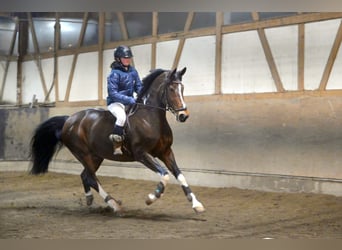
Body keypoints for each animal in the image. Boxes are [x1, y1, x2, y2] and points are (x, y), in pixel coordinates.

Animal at [29, 67, 204, 214]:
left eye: (182, 88)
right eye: (172, 89)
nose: (184, 115)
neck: (150, 119)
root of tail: (68, 120)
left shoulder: (166, 152)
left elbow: (180, 175)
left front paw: (197, 205)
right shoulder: (141, 154)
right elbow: (165, 175)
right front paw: (151, 198)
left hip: (96, 156)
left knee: (85, 176)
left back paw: (90, 199)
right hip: (83, 154)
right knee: (91, 177)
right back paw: (114, 204)